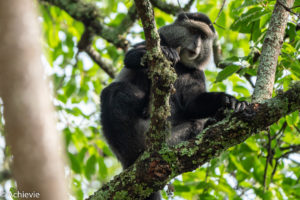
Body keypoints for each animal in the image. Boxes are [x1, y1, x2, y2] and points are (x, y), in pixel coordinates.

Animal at [100, 12, 248, 200]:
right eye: (194, 31)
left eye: (203, 37)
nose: (196, 45)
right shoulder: (156, 41)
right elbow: (131, 58)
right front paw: (167, 52)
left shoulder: (195, 72)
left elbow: (192, 104)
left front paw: (230, 101)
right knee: (114, 92)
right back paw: (135, 153)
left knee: (195, 123)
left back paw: (212, 121)